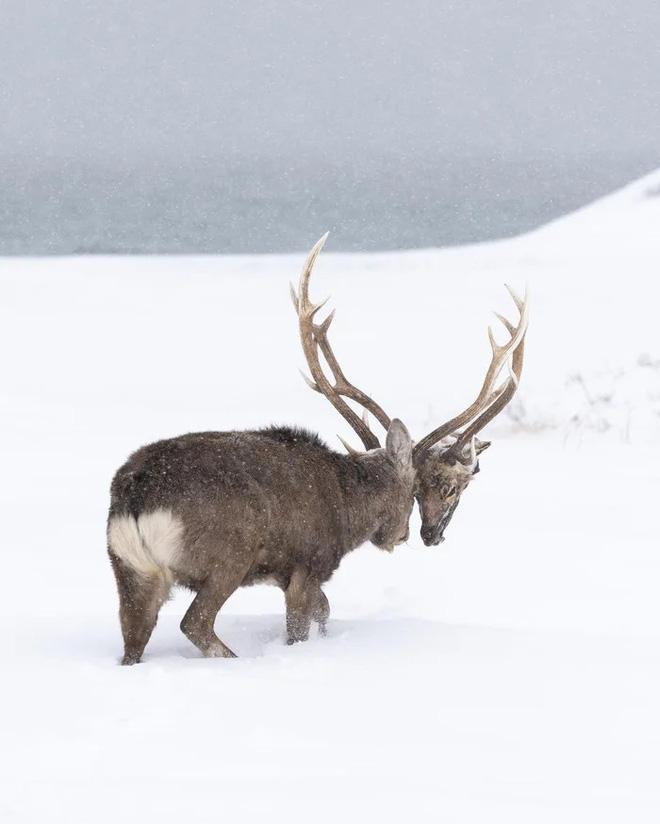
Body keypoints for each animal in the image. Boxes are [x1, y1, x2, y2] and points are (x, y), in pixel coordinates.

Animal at [109, 232, 532, 664]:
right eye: (418, 486)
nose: (408, 536)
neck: (348, 509)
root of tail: (137, 500)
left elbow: (325, 612)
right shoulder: (308, 563)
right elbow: (302, 625)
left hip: (129, 569)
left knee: (132, 639)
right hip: (228, 555)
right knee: (194, 622)